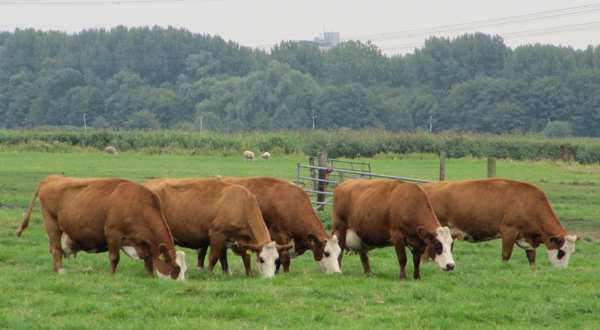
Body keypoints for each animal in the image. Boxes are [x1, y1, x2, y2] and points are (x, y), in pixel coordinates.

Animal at [16, 174, 186, 280]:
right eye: (176, 269)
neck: (138, 204)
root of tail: (51, 178)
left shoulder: (144, 243)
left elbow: (149, 261)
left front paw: (150, 276)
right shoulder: (113, 233)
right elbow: (114, 257)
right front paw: (112, 276)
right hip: (52, 224)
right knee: (56, 249)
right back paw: (60, 271)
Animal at [142, 178, 290, 278]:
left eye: (277, 260)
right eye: (262, 259)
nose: (269, 278)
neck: (241, 204)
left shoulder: (241, 241)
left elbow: (244, 259)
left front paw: (248, 274)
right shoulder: (217, 234)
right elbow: (214, 257)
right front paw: (208, 273)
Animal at [199, 178, 342, 274]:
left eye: (338, 253)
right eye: (327, 253)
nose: (337, 272)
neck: (291, 203)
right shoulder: (279, 235)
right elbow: (285, 258)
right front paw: (285, 273)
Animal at [420, 178, 580, 268]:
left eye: (571, 252)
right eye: (561, 252)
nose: (562, 270)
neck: (529, 202)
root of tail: (425, 188)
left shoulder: (528, 238)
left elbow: (532, 258)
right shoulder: (509, 231)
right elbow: (506, 255)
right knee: (425, 255)